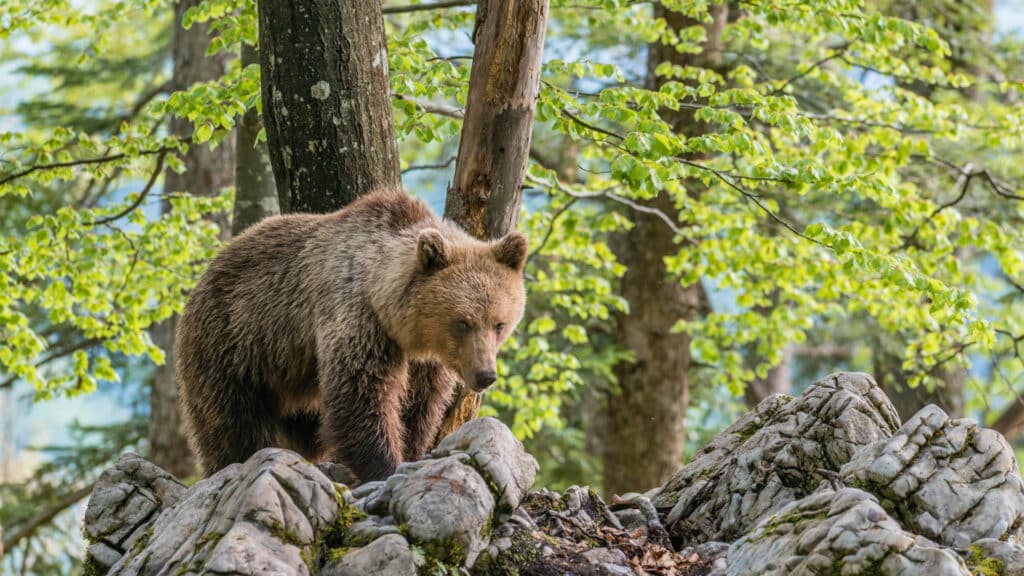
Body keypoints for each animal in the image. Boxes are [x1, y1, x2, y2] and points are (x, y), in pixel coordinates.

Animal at [175, 188, 524, 479]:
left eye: (499, 324)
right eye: (462, 322)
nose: (485, 375)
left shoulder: (425, 362)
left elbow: (419, 406)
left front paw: (412, 451)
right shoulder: (356, 317)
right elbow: (361, 393)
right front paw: (385, 465)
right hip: (233, 345)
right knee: (231, 422)